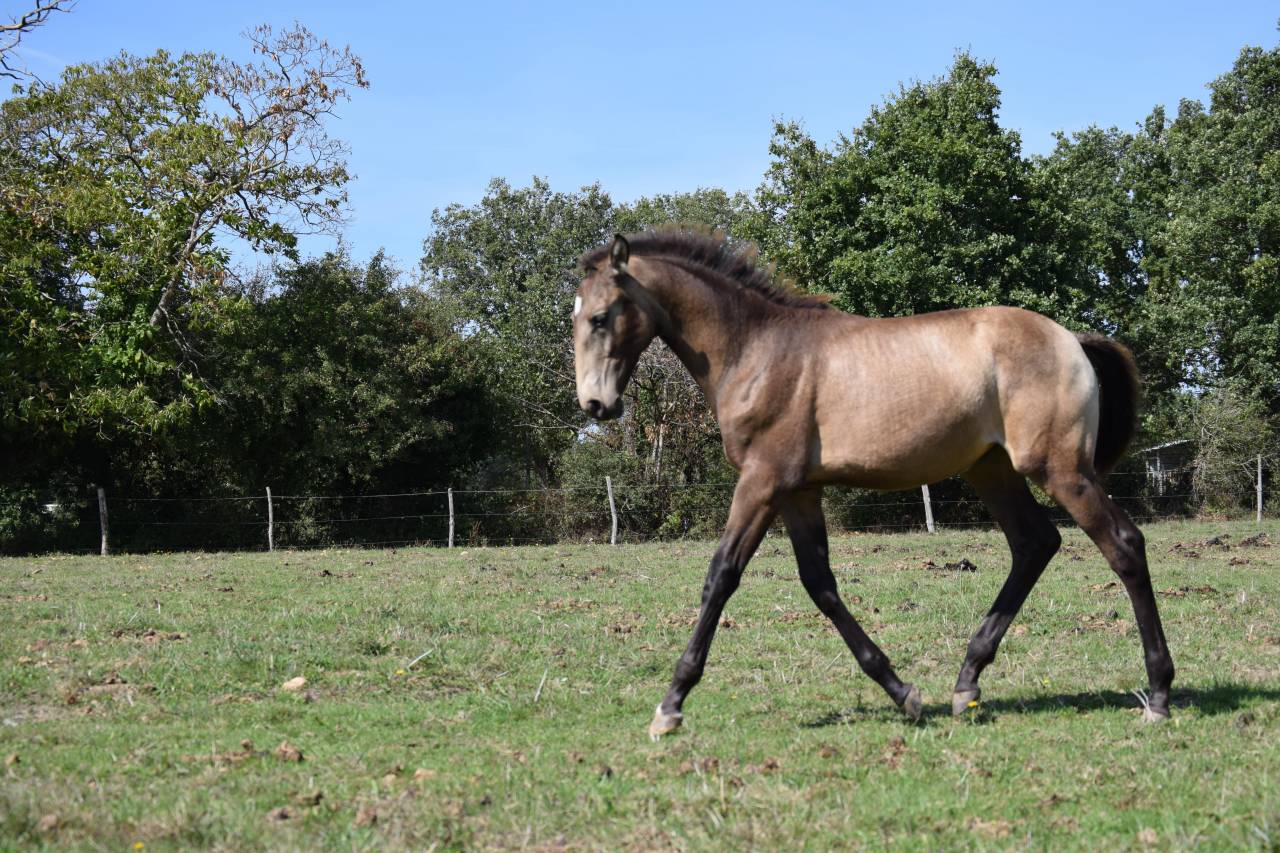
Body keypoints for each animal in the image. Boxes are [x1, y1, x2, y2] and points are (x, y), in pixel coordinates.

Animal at [572, 230, 1174, 739]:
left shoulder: (761, 482)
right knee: (1034, 544)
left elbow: (721, 576)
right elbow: (820, 584)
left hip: (1060, 468)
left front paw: (670, 705)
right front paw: (902, 691)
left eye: (600, 318)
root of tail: (1071, 339)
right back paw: (967, 683)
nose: (595, 405)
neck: (755, 350)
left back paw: (1159, 694)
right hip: (992, 469)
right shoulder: (798, 492)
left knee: (1122, 545)